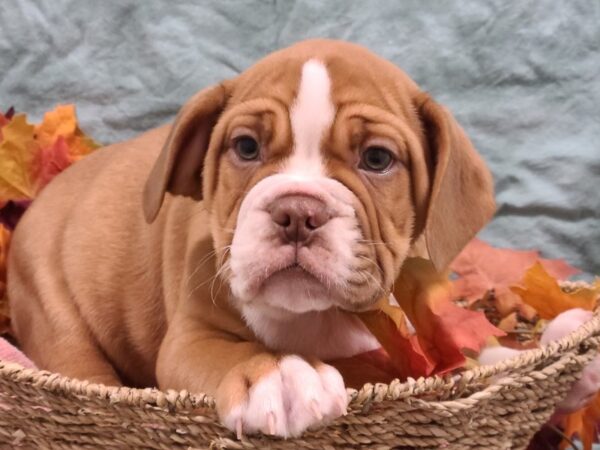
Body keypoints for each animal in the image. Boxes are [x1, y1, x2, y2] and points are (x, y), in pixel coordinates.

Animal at [8, 40, 492, 438]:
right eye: (245, 147)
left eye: (377, 158)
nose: (297, 212)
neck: (311, 318)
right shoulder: (191, 338)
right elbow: (231, 352)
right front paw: (278, 374)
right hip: (57, 318)